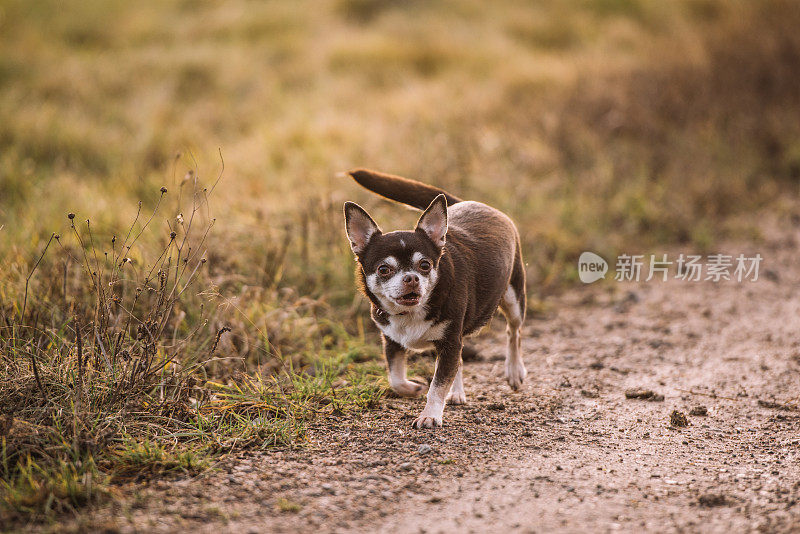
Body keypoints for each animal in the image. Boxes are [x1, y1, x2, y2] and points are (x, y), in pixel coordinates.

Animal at [342, 170, 524, 430]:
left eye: (425, 265)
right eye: (384, 269)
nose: (411, 278)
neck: (412, 313)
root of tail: (470, 203)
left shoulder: (449, 342)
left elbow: (437, 385)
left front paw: (430, 415)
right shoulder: (392, 340)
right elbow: (396, 378)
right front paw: (413, 388)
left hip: (512, 296)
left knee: (513, 332)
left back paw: (514, 371)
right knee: (462, 358)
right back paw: (457, 392)